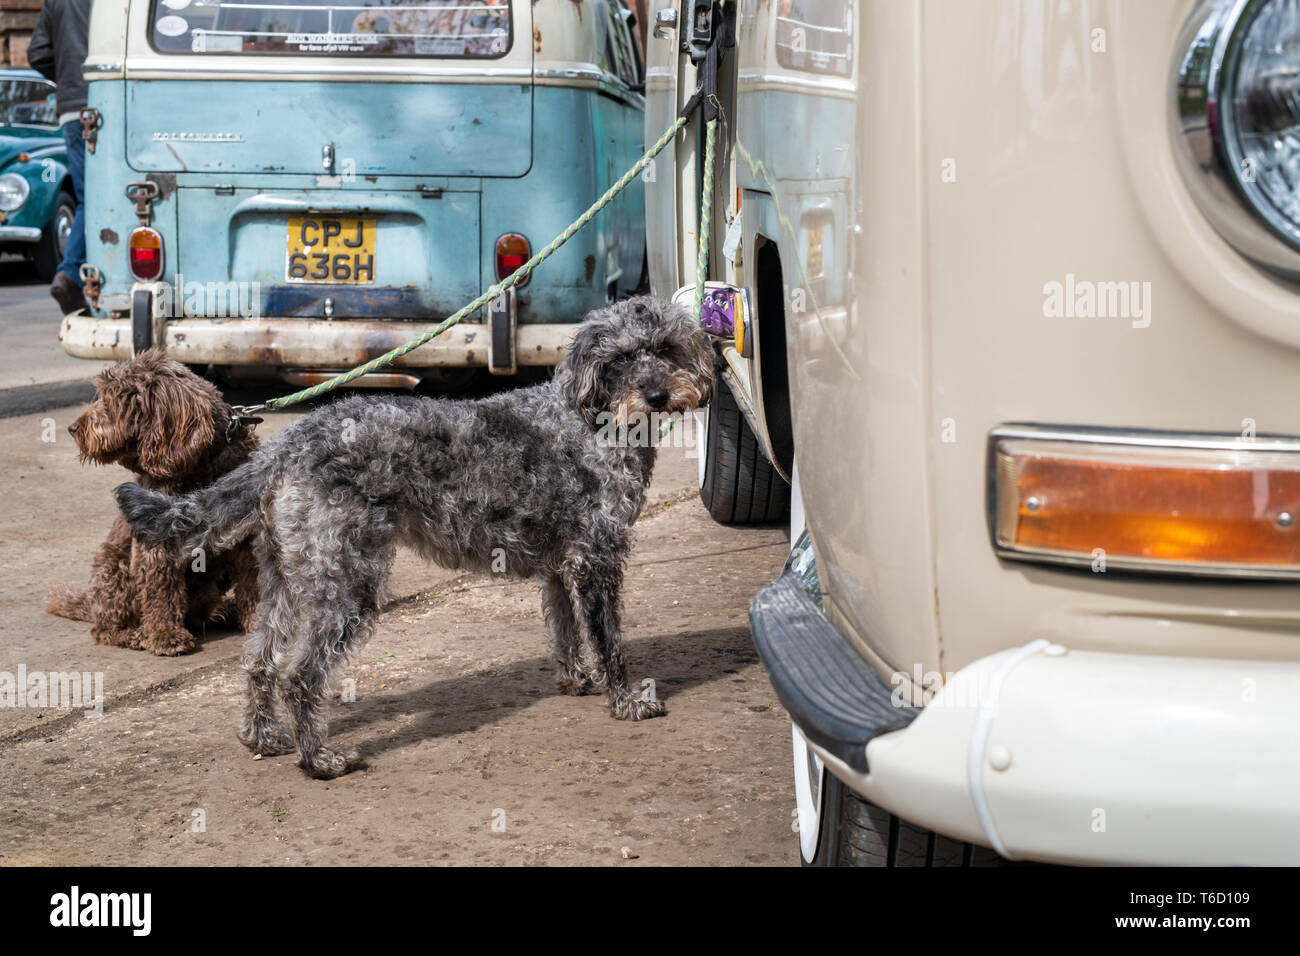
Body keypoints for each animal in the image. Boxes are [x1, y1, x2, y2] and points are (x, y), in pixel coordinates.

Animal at [46, 351, 258, 658]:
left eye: (112, 400)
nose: (73, 428)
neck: (198, 466)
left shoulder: (246, 537)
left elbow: (254, 583)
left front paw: (260, 622)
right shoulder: (156, 541)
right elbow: (160, 590)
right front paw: (165, 635)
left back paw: (220, 610)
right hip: (112, 568)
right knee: (104, 629)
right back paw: (134, 634)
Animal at [115, 297, 717, 780]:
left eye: (666, 348)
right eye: (620, 359)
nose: (657, 395)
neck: (587, 416)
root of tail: (288, 444)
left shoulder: (560, 564)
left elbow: (566, 628)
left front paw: (576, 680)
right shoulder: (598, 557)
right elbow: (609, 640)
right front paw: (627, 701)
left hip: (287, 578)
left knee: (260, 659)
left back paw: (262, 737)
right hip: (347, 582)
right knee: (301, 675)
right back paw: (321, 761)